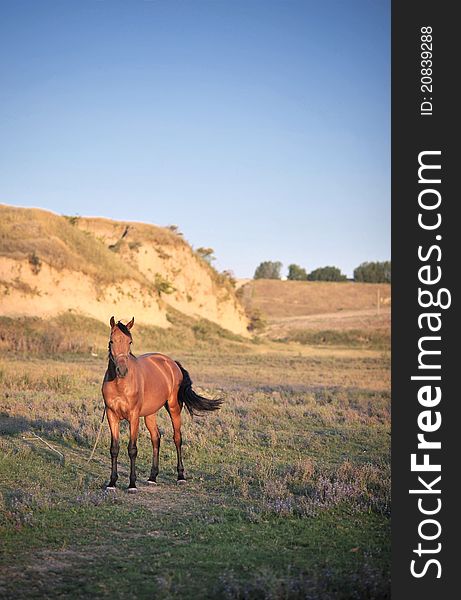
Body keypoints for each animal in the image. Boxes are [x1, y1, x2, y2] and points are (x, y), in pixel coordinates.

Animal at [103, 316, 221, 490]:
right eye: (111, 341)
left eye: (130, 341)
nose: (122, 370)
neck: (120, 384)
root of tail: (171, 363)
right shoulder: (111, 415)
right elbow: (114, 449)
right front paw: (112, 482)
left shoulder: (133, 417)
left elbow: (132, 449)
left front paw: (132, 484)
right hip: (150, 414)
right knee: (156, 438)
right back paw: (152, 477)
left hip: (173, 408)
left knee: (177, 438)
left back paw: (180, 476)